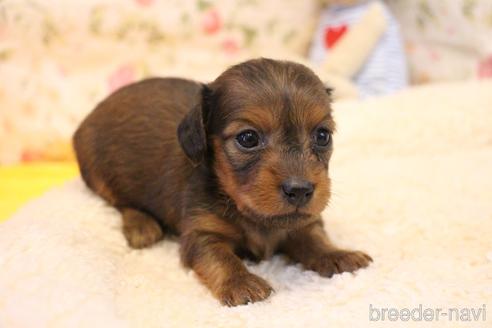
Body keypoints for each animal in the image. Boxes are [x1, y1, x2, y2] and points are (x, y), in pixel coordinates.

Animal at [73, 57, 370, 306]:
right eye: (248, 138)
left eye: (322, 135)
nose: (300, 190)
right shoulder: (201, 234)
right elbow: (222, 258)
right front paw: (241, 282)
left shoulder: (304, 221)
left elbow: (315, 239)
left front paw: (337, 255)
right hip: (97, 172)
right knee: (120, 202)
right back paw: (141, 225)